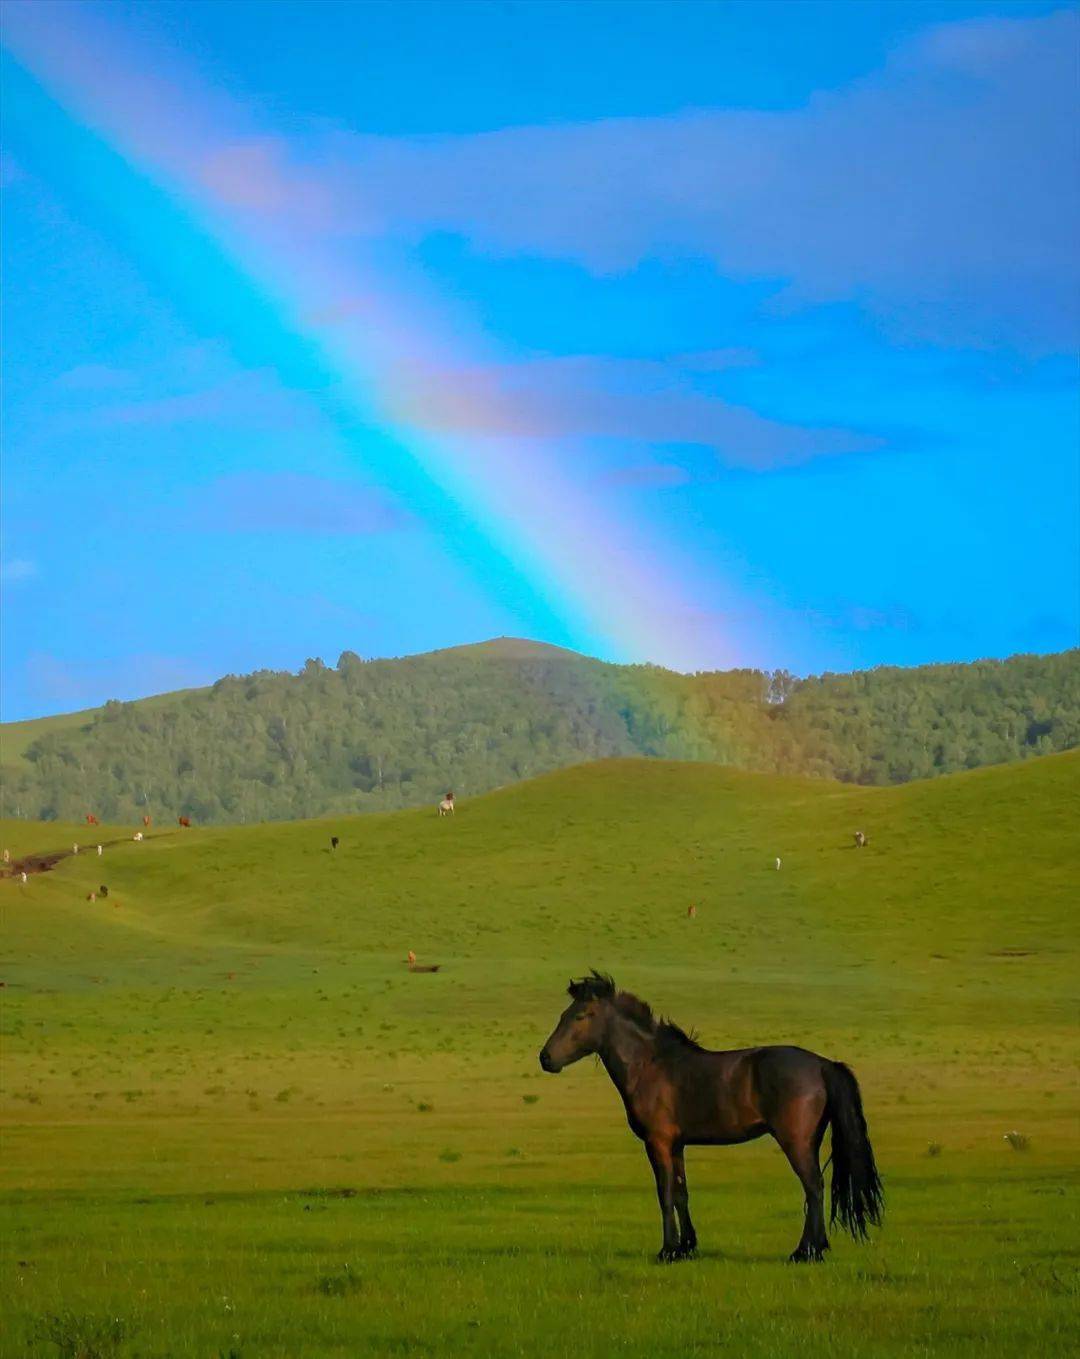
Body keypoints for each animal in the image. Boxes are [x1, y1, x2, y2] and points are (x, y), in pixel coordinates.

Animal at [540, 973, 885, 1255]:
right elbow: (681, 1193)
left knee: (813, 1187)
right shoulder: (676, 1145)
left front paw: (667, 1250)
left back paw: (805, 1252)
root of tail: (823, 1065)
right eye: (563, 1015)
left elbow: (665, 1193)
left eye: (581, 1015)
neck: (650, 1065)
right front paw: (687, 1247)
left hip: (796, 1142)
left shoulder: (658, 1143)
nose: (545, 1058)